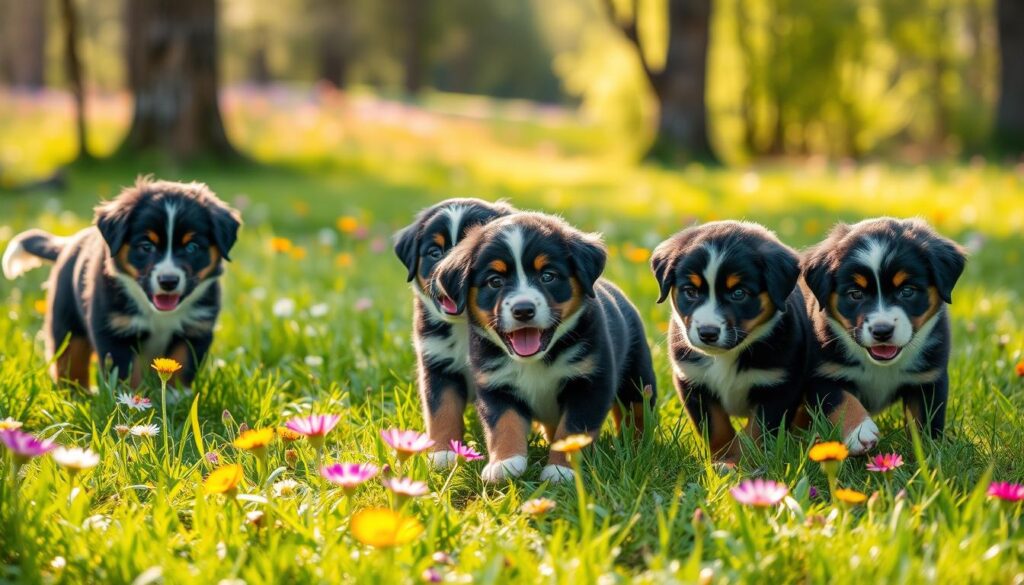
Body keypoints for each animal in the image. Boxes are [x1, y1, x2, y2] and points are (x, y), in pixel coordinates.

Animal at [1, 177, 239, 389]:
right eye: (146, 246)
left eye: (192, 247)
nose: (168, 281)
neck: (158, 315)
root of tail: (70, 243)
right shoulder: (114, 331)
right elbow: (125, 374)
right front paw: (132, 402)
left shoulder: (195, 330)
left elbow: (181, 367)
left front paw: (176, 400)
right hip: (66, 323)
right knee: (70, 362)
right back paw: (76, 396)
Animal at [395, 198, 516, 469]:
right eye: (434, 252)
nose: (447, 274)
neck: (462, 326)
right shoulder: (437, 364)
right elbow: (442, 412)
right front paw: (442, 453)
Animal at [430, 213, 655, 483]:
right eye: (495, 281)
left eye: (548, 276)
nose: (523, 310)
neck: (535, 361)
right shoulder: (494, 384)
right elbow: (504, 424)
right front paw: (505, 463)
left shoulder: (591, 382)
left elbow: (572, 429)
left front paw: (561, 470)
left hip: (638, 376)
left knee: (637, 410)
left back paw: (636, 446)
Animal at [651, 222, 811, 465]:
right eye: (691, 291)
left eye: (738, 293)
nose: (708, 333)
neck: (725, 356)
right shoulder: (693, 381)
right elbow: (716, 428)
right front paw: (723, 461)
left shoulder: (779, 386)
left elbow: (757, 432)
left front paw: (747, 462)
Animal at [798, 217, 966, 446]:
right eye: (855, 294)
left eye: (907, 291)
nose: (882, 331)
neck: (880, 366)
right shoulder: (823, 373)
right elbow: (843, 400)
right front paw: (859, 431)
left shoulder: (929, 379)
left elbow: (926, 420)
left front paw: (929, 449)